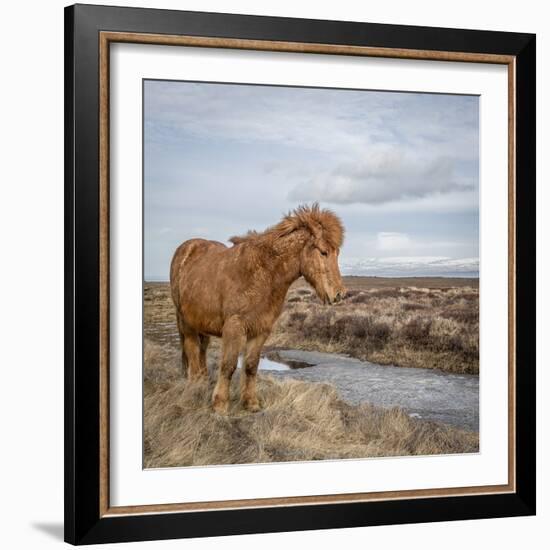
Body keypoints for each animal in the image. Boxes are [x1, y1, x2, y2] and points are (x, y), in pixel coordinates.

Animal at [170, 205, 348, 416]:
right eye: (323, 252)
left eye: (337, 253)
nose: (339, 294)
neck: (262, 274)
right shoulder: (234, 328)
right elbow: (229, 365)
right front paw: (220, 405)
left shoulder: (261, 330)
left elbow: (250, 366)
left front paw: (251, 403)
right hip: (185, 322)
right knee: (192, 351)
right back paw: (194, 387)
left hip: (201, 323)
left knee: (202, 350)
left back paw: (203, 382)